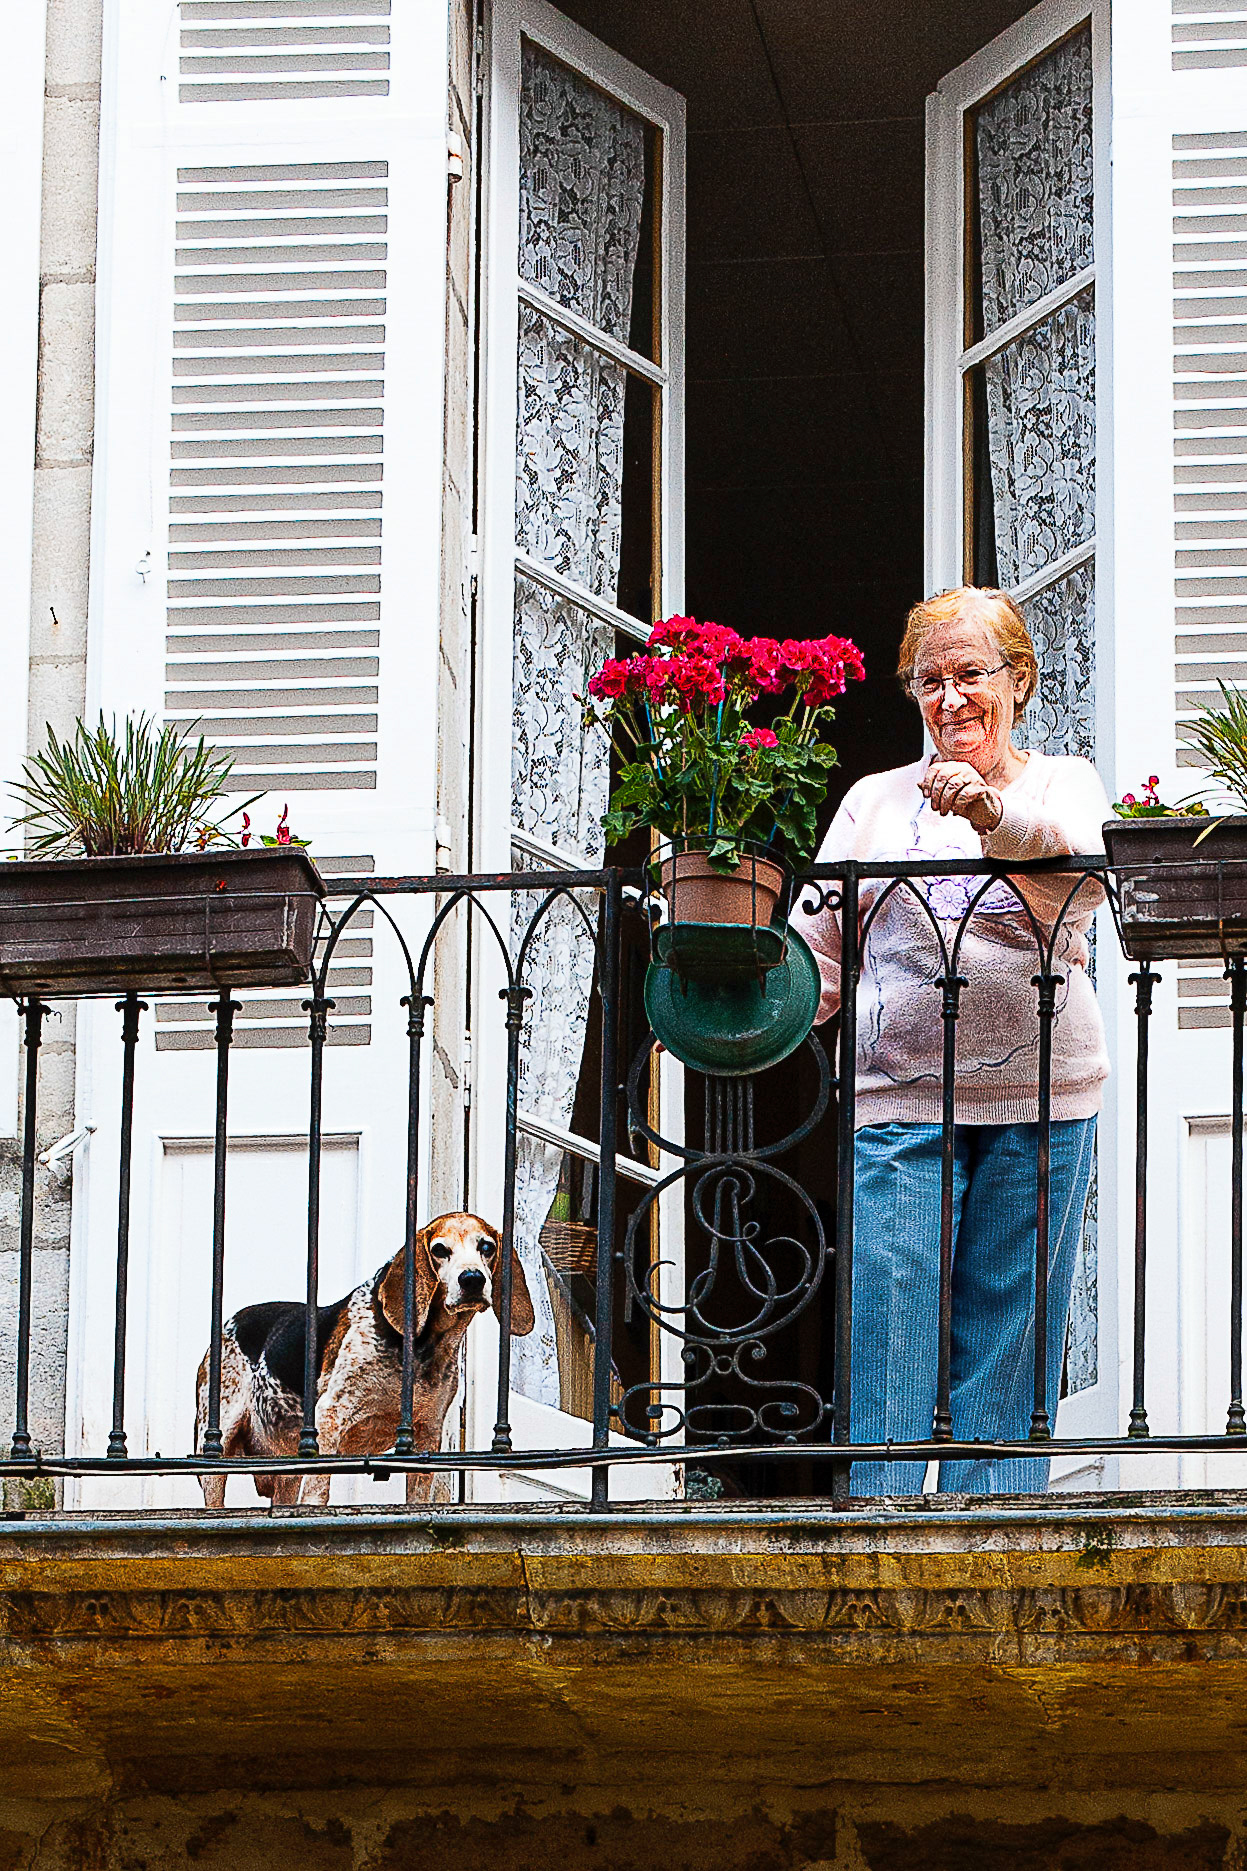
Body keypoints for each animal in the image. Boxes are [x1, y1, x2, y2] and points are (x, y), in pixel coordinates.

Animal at [195, 1213, 535, 1506]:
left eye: (487, 1248)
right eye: (439, 1250)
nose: (472, 1279)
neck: (421, 1347)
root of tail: (228, 1324)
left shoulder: (427, 1434)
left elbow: (418, 1495)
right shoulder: (329, 1418)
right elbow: (318, 1490)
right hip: (217, 1438)